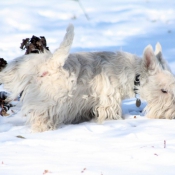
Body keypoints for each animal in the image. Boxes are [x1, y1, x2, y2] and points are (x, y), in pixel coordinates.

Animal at [0, 24, 175, 131]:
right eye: (164, 90)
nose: (172, 115)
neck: (130, 72)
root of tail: (49, 65)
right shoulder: (108, 102)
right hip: (47, 104)